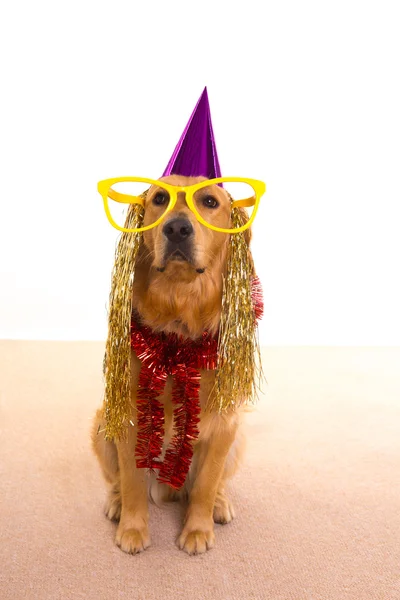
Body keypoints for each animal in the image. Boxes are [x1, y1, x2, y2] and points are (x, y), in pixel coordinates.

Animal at [92, 176, 252, 556]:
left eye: (209, 201)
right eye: (160, 198)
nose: (177, 228)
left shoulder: (224, 421)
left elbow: (206, 483)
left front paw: (197, 530)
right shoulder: (130, 416)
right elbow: (133, 481)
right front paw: (133, 529)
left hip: (237, 439)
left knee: (213, 483)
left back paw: (220, 505)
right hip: (103, 424)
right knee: (118, 480)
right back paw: (116, 503)